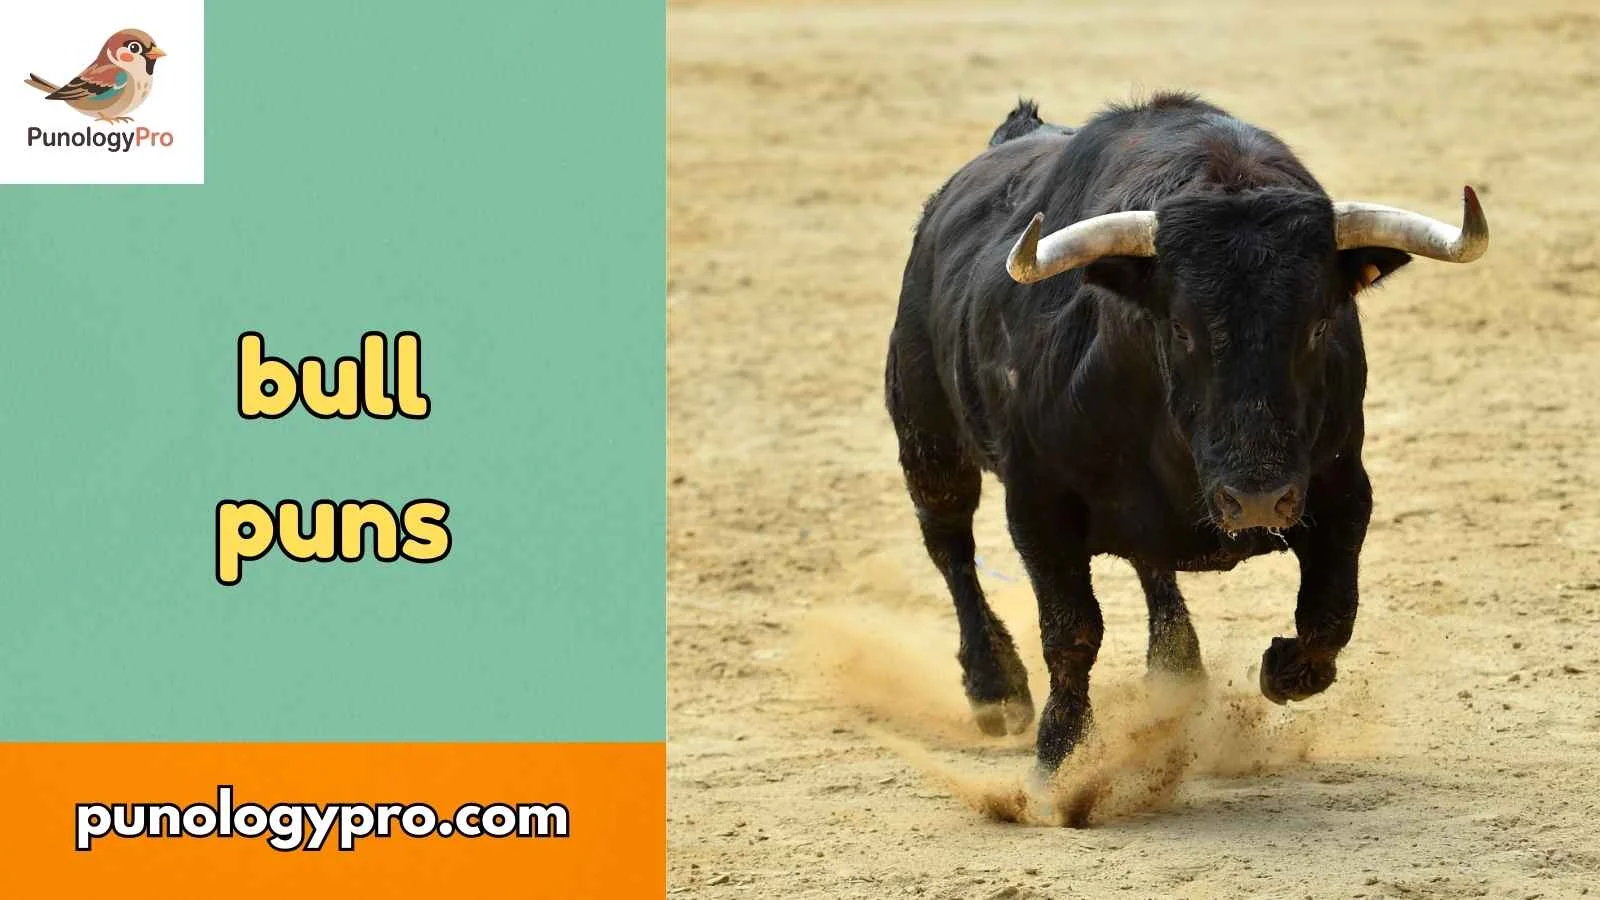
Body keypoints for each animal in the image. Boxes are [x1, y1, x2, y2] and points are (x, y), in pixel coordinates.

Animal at [884, 92, 1488, 774]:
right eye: (1179, 328)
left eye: (1318, 325)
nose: (1256, 502)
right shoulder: (1038, 503)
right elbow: (1071, 631)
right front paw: (1061, 758)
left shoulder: (1342, 488)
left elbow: (1330, 613)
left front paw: (1282, 667)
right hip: (927, 437)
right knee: (951, 545)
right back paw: (997, 691)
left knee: (1152, 566)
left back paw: (1179, 674)